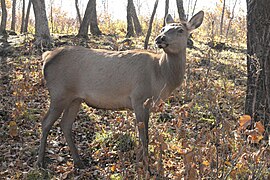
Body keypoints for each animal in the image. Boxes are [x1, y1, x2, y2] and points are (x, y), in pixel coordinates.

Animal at [36, 11, 205, 169]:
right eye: (163, 28)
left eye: (180, 30)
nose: (160, 38)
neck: (161, 77)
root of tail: (47, 56)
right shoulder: (139, 98)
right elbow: (144, 136)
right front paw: (146, 165)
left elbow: (144, 135)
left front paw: (141, 161)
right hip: (59, 92)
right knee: (45, 122)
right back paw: (40, 162)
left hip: (75, 98)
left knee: (65, 124)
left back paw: (78, 162)